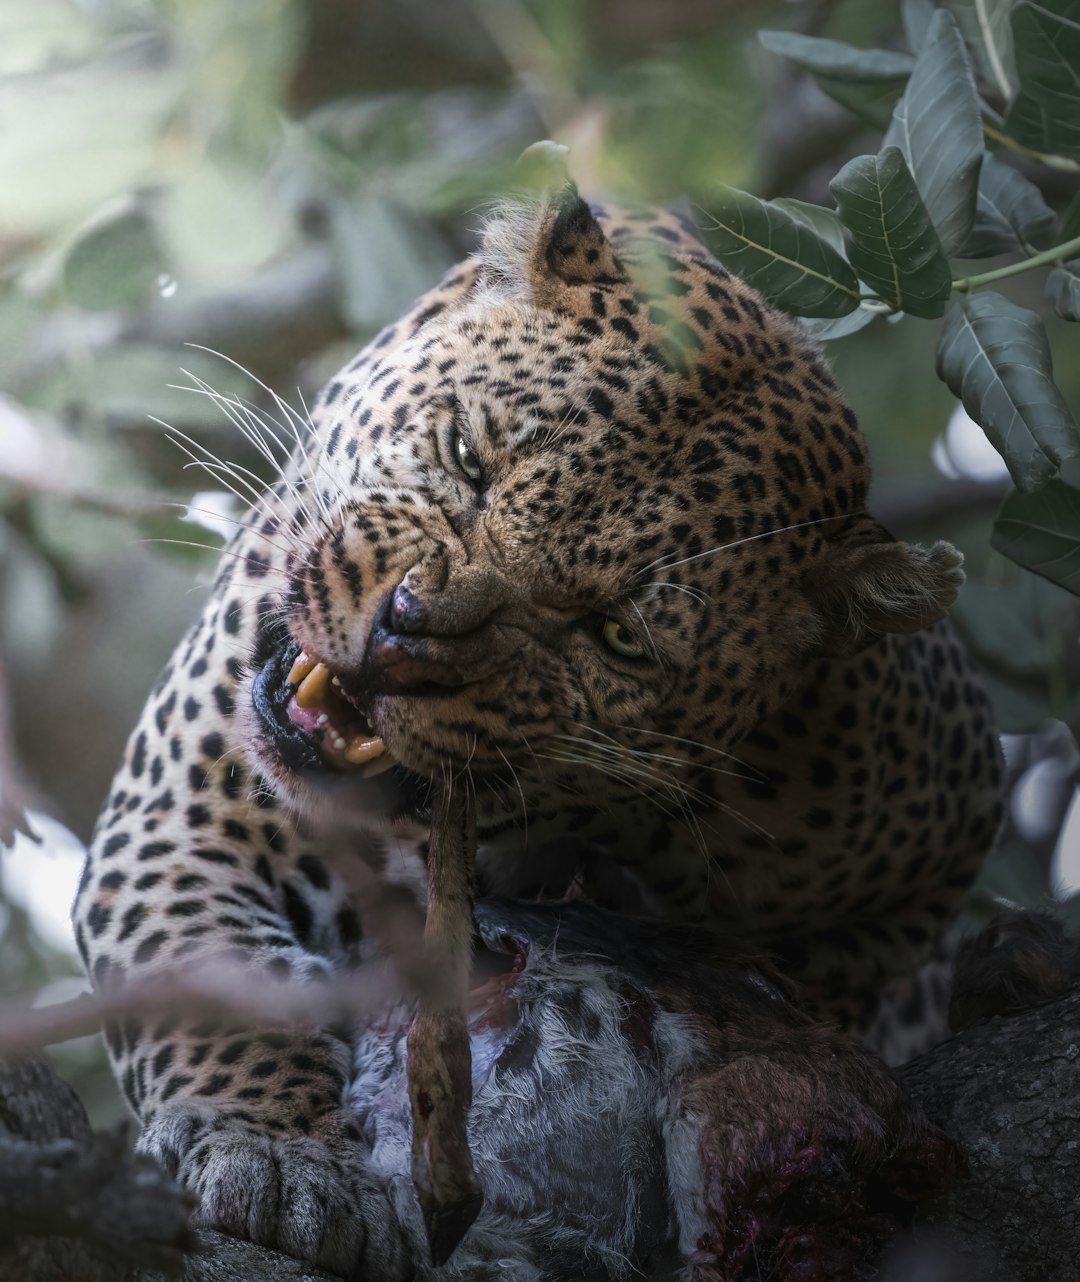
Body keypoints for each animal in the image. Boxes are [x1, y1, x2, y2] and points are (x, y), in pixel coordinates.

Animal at [73, 147, 1000, 1271]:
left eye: (613, 635)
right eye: (471, 457)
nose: (402, 631)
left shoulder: (941, 813)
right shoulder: (194, 808)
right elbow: (214, 989)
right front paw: (282, 1152)